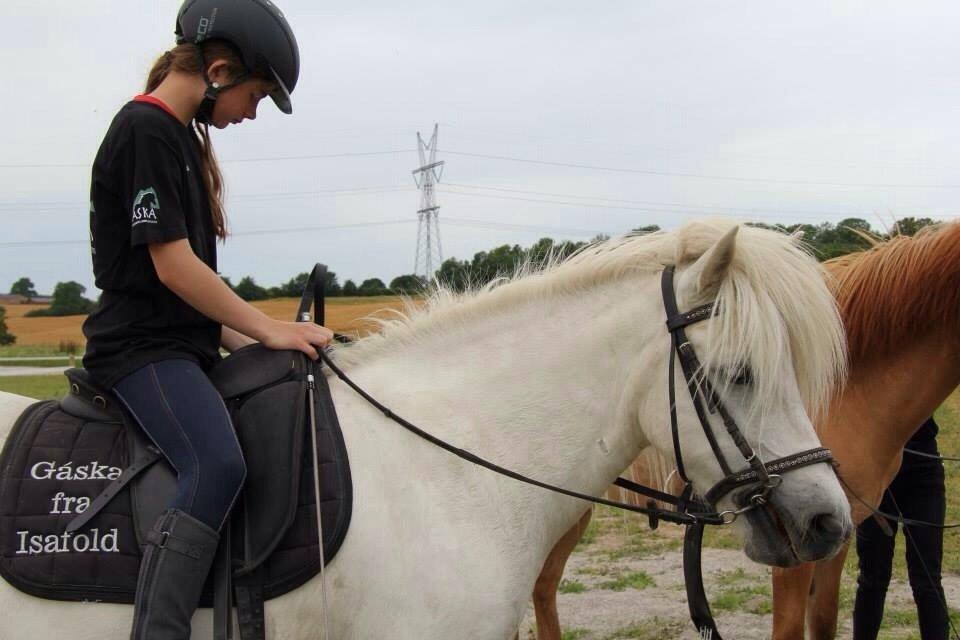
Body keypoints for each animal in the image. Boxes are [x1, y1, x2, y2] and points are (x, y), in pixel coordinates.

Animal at [528, 220, 960, 640]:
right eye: (740, 373)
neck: (853, 386)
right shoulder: (795, 550)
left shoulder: (836, 537)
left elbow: (823, 621)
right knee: (543, 587)